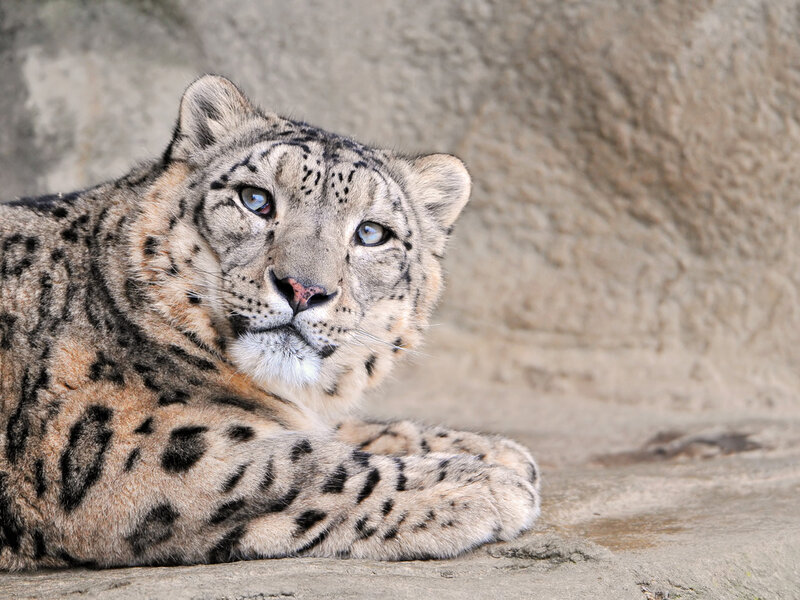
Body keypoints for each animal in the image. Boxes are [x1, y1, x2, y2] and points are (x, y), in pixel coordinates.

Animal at [0, 75, 539, 569]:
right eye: (255, 200)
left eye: (371, 233)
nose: (303, 288)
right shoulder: (132, 448)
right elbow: (303, 467)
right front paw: (484, 483)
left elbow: (340, 431)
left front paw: (494, 451)